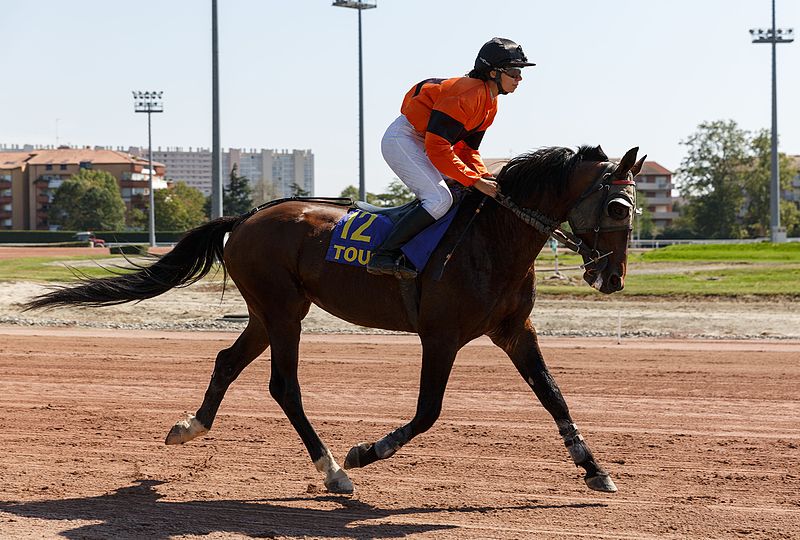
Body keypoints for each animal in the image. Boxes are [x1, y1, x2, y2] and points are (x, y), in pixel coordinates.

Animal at [28, 146, 648, 496]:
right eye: (617, 206)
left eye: (635, 207)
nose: (613, 276)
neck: (493, 241)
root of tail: (245, 218)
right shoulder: (441, 336)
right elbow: (428, 412)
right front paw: (366, 452)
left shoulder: (515, 331)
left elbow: (554, 395)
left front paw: (595, 470)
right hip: (283, 311)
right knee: (284, 386)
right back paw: (333, 470)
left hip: (269, 312)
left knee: (227, 361)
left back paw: (191, 426)